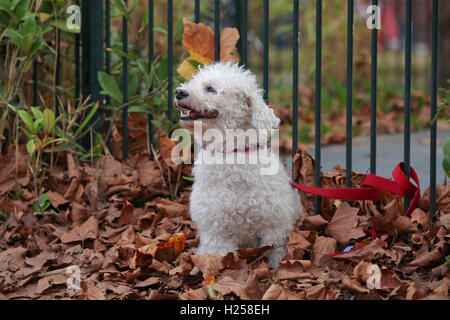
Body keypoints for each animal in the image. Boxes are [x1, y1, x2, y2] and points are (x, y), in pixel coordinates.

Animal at [174, 61, 300, 268]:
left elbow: (277, 255)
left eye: (211, 89)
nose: (179, 92)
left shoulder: (274, 228)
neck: (231, 154)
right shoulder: (217, 233)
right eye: (192, 82)